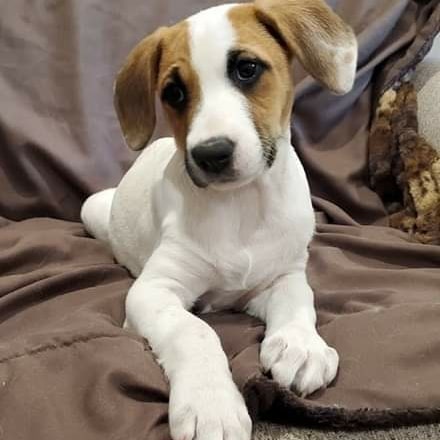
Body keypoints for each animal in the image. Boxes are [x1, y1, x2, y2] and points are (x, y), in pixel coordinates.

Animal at [81, 1, 358, 438]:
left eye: (247, 68)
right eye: (173, 92)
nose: (211, 154)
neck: (240, 206)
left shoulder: (281, 275)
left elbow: (300, 299)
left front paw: (300, 345)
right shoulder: (153, 291)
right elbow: (194, 330)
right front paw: (211, 404)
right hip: (92, 208)